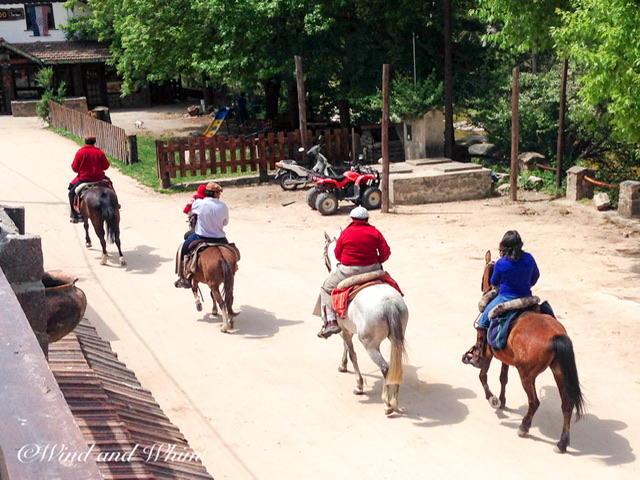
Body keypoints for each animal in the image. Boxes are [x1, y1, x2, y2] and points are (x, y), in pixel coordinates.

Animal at [322, 232, 408, 412]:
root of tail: (389, 302)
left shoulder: (344, 330)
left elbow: (352, 353)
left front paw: (358, 385)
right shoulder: (346, 329)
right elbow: (347, 348)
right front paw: (343, 365)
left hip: (370, 344)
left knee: (385, 367)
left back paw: (387, 403)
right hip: (397, 338)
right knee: (396, 365)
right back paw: (395, 402)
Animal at [472, 251, 584, 454]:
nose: (483, 288)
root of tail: (556, 336)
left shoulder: (489, 353)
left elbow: (483, 376)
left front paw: (493, 399)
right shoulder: (505, 357)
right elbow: (503, 377)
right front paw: (502, 400)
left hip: (526, 374)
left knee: (534, 402)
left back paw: (524, 427)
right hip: (558, 371)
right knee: (567, 405)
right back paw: (562, 443)